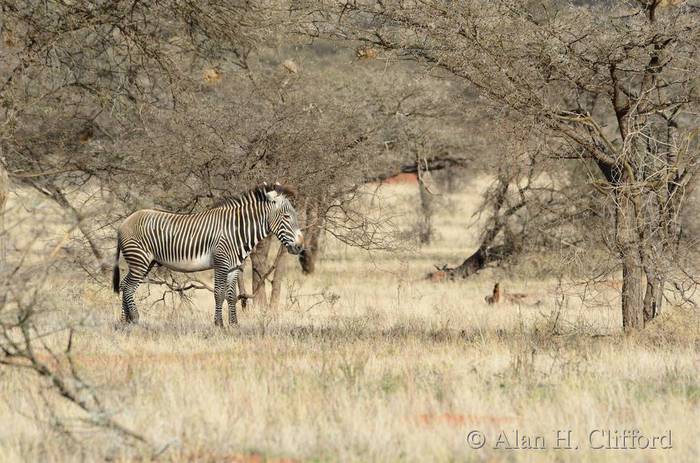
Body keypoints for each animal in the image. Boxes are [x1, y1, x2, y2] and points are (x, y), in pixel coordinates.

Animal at [112, 183, 304, 326]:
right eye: (287, 216)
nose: (300, 246)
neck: (236, 230)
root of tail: (124, 222)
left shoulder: (233, 267)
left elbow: (231, 295)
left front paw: (234, 324)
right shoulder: (221, 263)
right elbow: (219, 293)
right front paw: (219, 324)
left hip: (146, 262)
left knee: (124, 285)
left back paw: (124, 321)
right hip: (140, 260)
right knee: (128, 287)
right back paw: (135, 319)